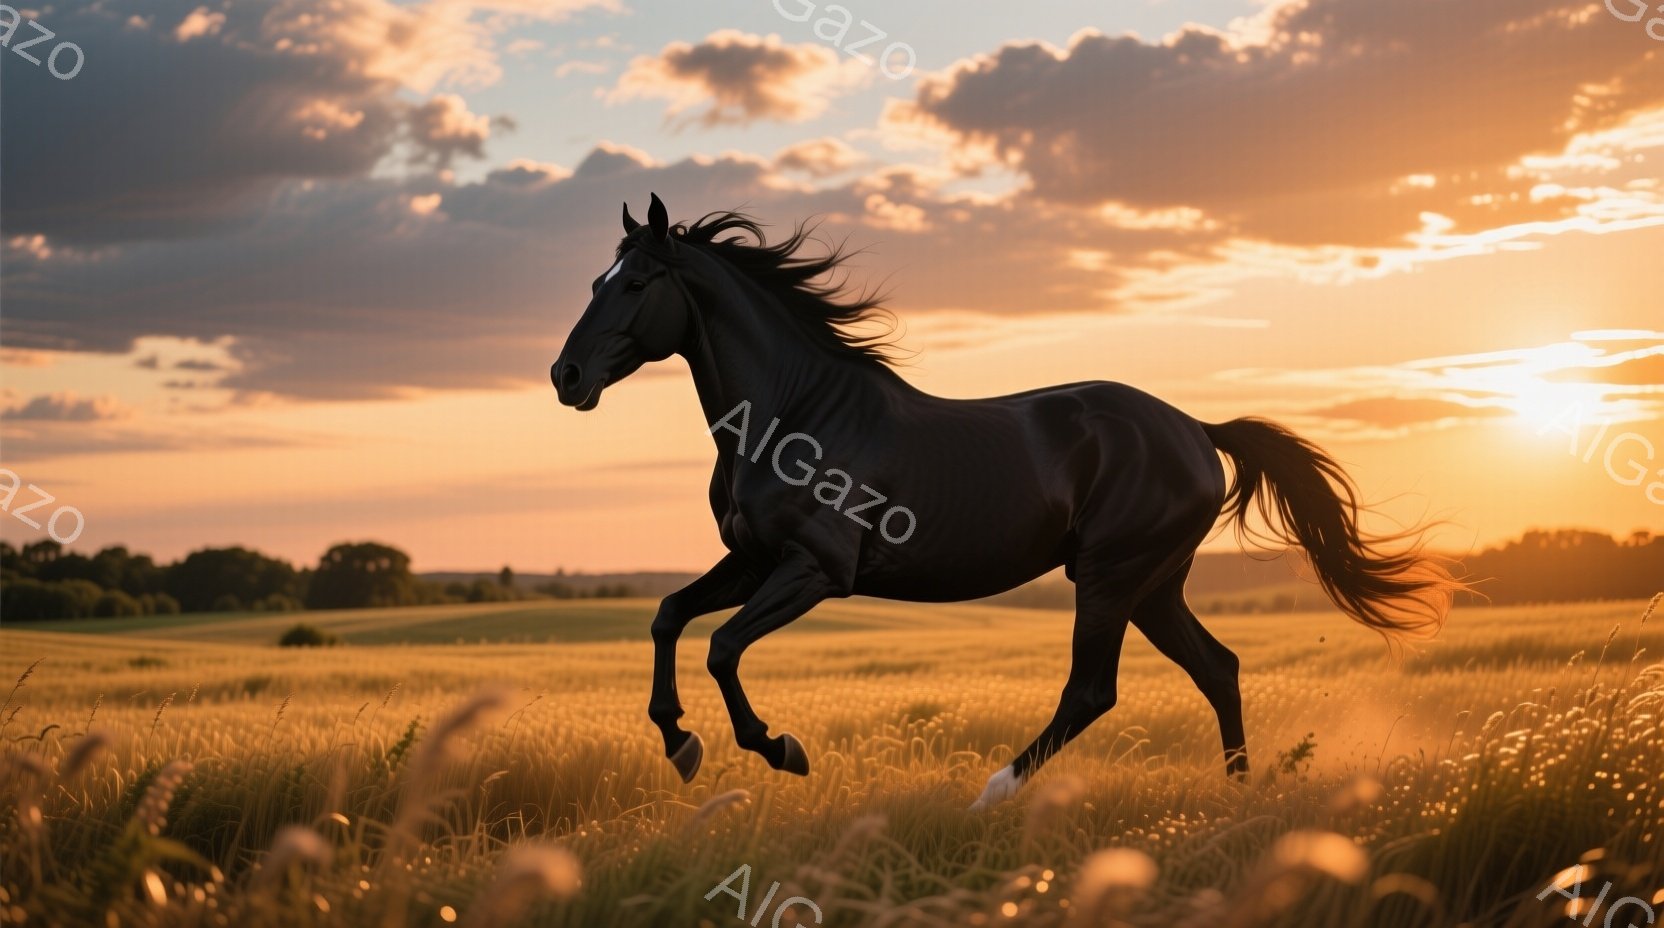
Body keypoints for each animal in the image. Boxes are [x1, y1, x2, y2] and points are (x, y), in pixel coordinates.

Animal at [551, 193, 1460, 810]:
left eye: (635, 284)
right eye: (596, 278)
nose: (566, 377)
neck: (793, 416)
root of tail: (1197, 430)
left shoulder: (814, 569)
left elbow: (722, 648)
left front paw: (780, 749)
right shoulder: (751, 559)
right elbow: (669, 616)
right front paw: (681, 744)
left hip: (1109, 576)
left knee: (1093, 692)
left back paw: (990, 792)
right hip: (1153, 586)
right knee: (1218, 668)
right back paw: (1238, 799)